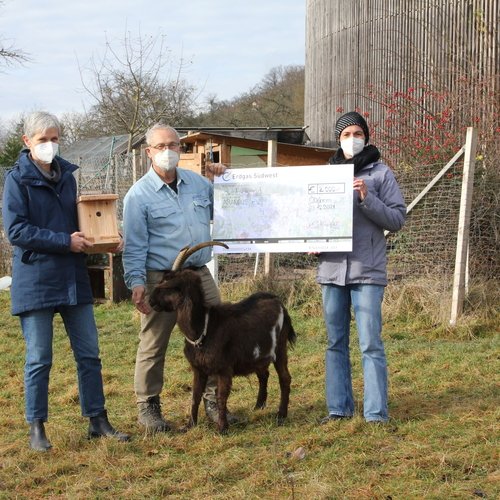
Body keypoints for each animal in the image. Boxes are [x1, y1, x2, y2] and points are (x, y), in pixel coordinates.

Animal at [148, 242, 296, 434]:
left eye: (170, 284)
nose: (150, 300)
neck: (204, 328)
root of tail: (280, 303)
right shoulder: (198, 369)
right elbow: (195, 396)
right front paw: (190, 425)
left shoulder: (225, 369)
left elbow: (221, 397)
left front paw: (222, 428)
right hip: (258, 356)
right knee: (264, 374)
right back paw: (258, 405)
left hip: (280, 349)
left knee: (285, 378)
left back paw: (281, 415)